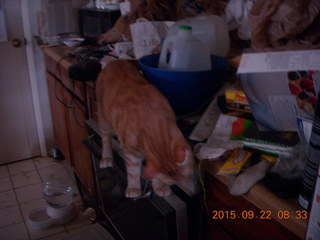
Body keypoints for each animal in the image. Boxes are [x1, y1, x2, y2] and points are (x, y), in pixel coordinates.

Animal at [95, 59, 195, 198]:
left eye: (189, 176)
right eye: (173, 184)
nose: (193, 193)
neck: (151, 122)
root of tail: (113, 61)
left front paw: (159, 185)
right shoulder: (132, 152)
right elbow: (133, 171)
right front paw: (133, 187)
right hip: (104, 120)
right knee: (106, 140)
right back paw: (106, 157)